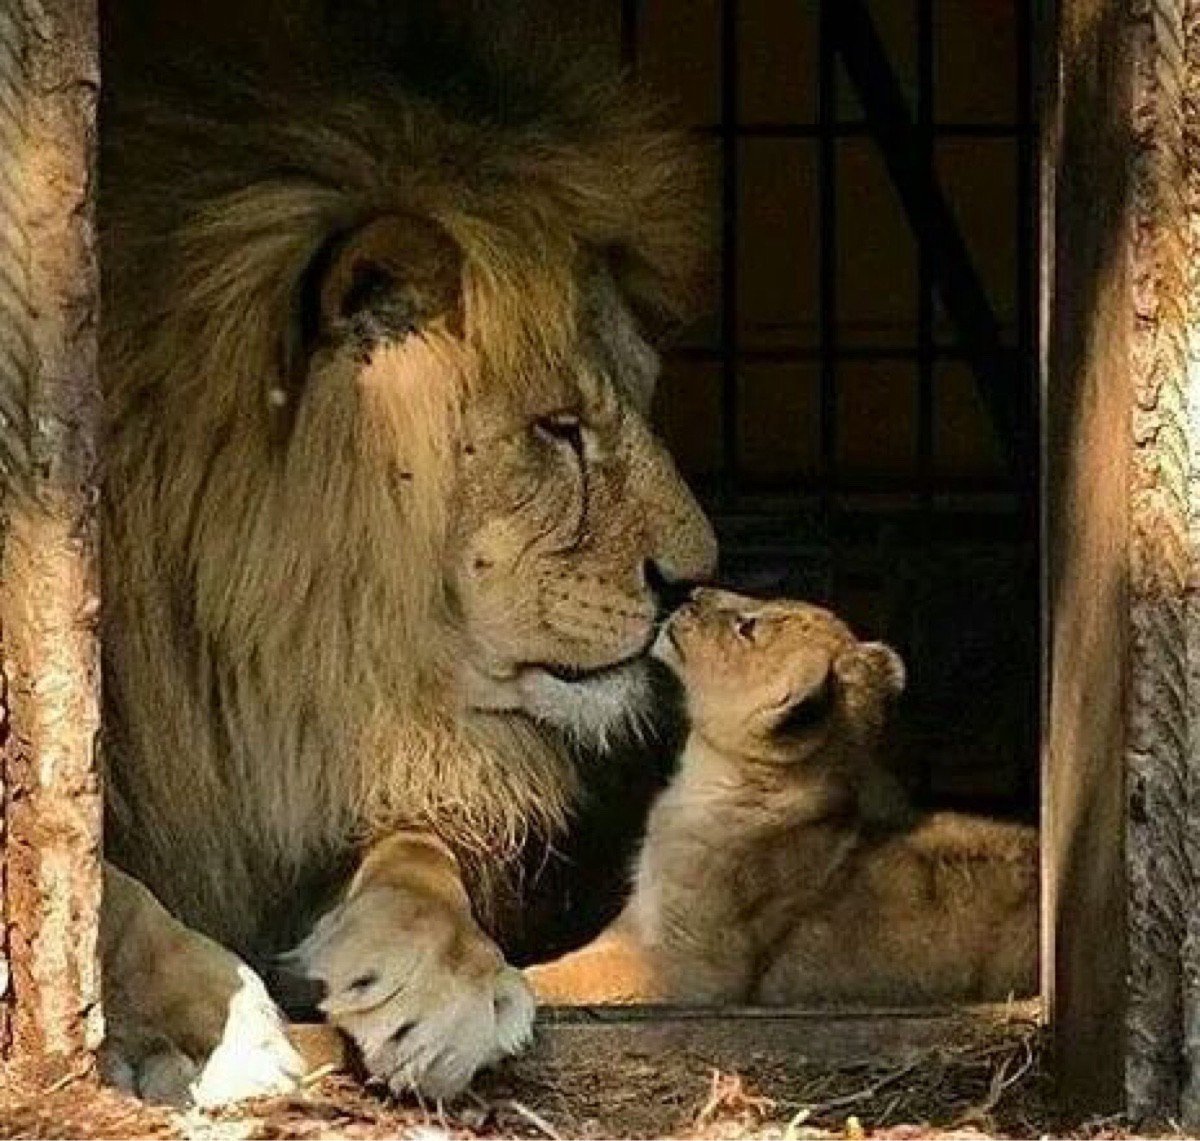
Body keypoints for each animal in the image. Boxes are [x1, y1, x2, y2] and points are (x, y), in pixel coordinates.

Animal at [97, 9, 716, 1107]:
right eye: (558, 428)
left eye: (642, 395)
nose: (693, 577)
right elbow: (110, 891)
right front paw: (219, 1029)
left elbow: (421, 852)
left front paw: (444, 978)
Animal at [527, 589, 1039, 1006]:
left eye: (747, 628)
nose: (694, 593)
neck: (709, 777)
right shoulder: (635, 923)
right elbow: (580, 956)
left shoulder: (694, 971)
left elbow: (586, 976)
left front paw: (525, 986)